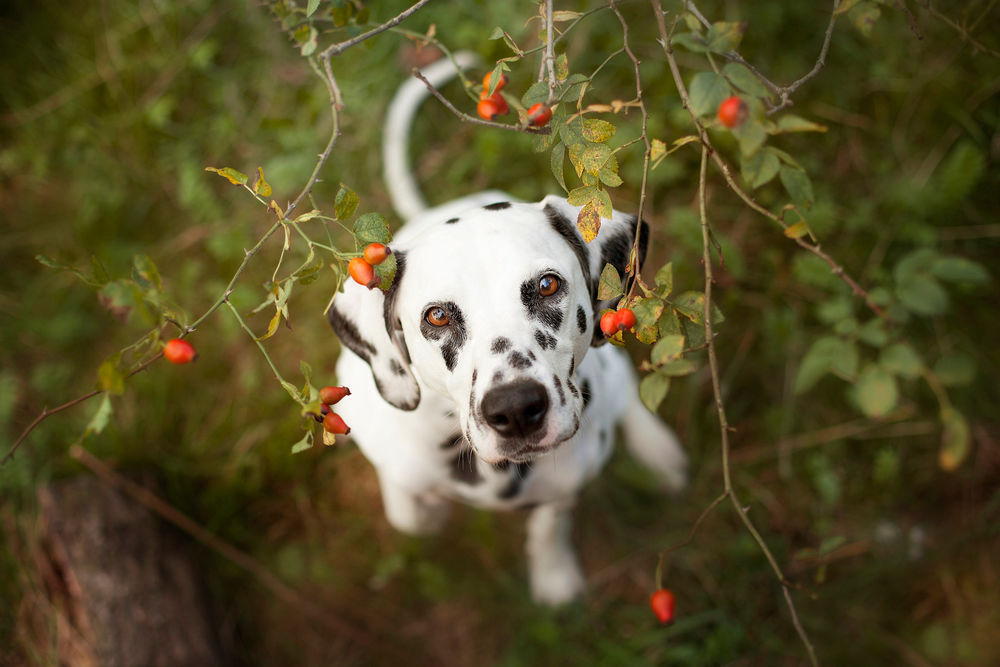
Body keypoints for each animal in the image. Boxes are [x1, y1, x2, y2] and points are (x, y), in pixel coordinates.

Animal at [328, 53, 688, 604]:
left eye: (546, 285)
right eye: (437, 315)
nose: (516, 409)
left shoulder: (568, 485)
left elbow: (550, 525)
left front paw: (554, 575)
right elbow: (411, 511)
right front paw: (427, 505)